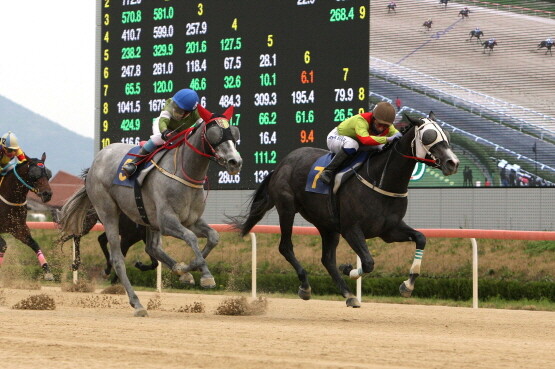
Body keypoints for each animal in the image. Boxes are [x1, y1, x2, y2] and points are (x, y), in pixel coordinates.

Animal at [60, 104, 241, 316]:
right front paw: (205, 275)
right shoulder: (167, 221)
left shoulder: (191, 220)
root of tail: (99, 158)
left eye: (234, 132)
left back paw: (179, 273)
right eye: (215, 133)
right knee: (117, 258)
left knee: (152, 247)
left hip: (147, 219)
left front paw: (184, 270)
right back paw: (137, 303)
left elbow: (213, 237)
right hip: (108, 211)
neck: (184, 172)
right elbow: (191, 238)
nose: (235, 162)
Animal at [231, 113, 460, 308]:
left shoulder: (389, 230)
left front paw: (408, 285)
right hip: (287, 209)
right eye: (429, 136)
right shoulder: (352, 229)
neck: (380, 179)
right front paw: (349, 269)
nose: (453, 163)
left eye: (446, 135)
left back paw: (349, 294)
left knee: (327, 259)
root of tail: (281, 164)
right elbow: (368, 262)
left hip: (327, 224)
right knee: (286, 247)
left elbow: (421, 238)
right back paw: (306, 286)